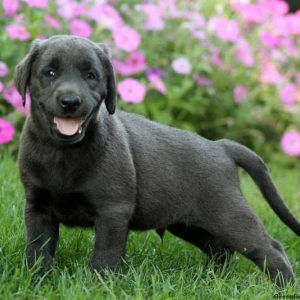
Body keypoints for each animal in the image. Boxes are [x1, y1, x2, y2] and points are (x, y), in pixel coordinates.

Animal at [15, 35, 300, 286]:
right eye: (50, 72)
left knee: (269, 248)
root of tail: (221, 146)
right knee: (220, 248)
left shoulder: (112, 212)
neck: (62, 151)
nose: (71, 101)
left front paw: (100, 286)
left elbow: (104, 256)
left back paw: (284, 288)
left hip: (229, 215)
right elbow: (38, 250)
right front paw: (37, 281)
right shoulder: (38, 208)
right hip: (187, 223)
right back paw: (211, 278)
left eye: (91, 76)